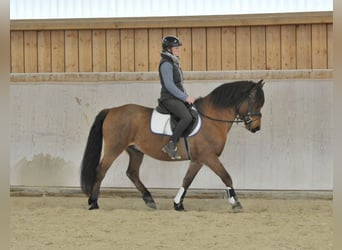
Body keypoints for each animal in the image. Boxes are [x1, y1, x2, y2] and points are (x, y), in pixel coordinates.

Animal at [80, 79, 264, 211]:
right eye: (255, 102)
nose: (256, 128)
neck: (211, 119)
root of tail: (111, 110)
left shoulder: (198, 159)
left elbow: (187, 180)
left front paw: (178, 204)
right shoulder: (209, 157)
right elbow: (226, 176)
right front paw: (236, 203)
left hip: (135, 151)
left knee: (132, 173)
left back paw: (150, 200)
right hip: (114, 148)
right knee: (101, 170)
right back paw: (93, 203)